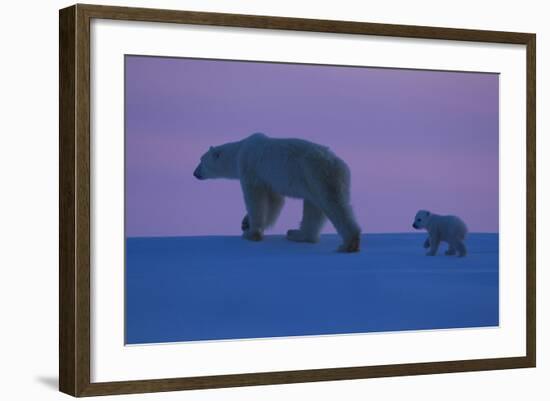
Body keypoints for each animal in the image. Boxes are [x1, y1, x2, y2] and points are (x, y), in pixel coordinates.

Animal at [194, 133, 362, 252]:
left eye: (201, 160)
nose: (195, 173)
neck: (240, 150)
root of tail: (341, 166)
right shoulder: (269, 179)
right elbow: (275, 202)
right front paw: (245, 223)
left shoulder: (250, 169)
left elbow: (255, 199)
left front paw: (251, 233)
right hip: (314, 181)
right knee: (314, 207)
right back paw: (297, 234)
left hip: (318, 174)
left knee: (334, 205)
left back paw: (349, 244)